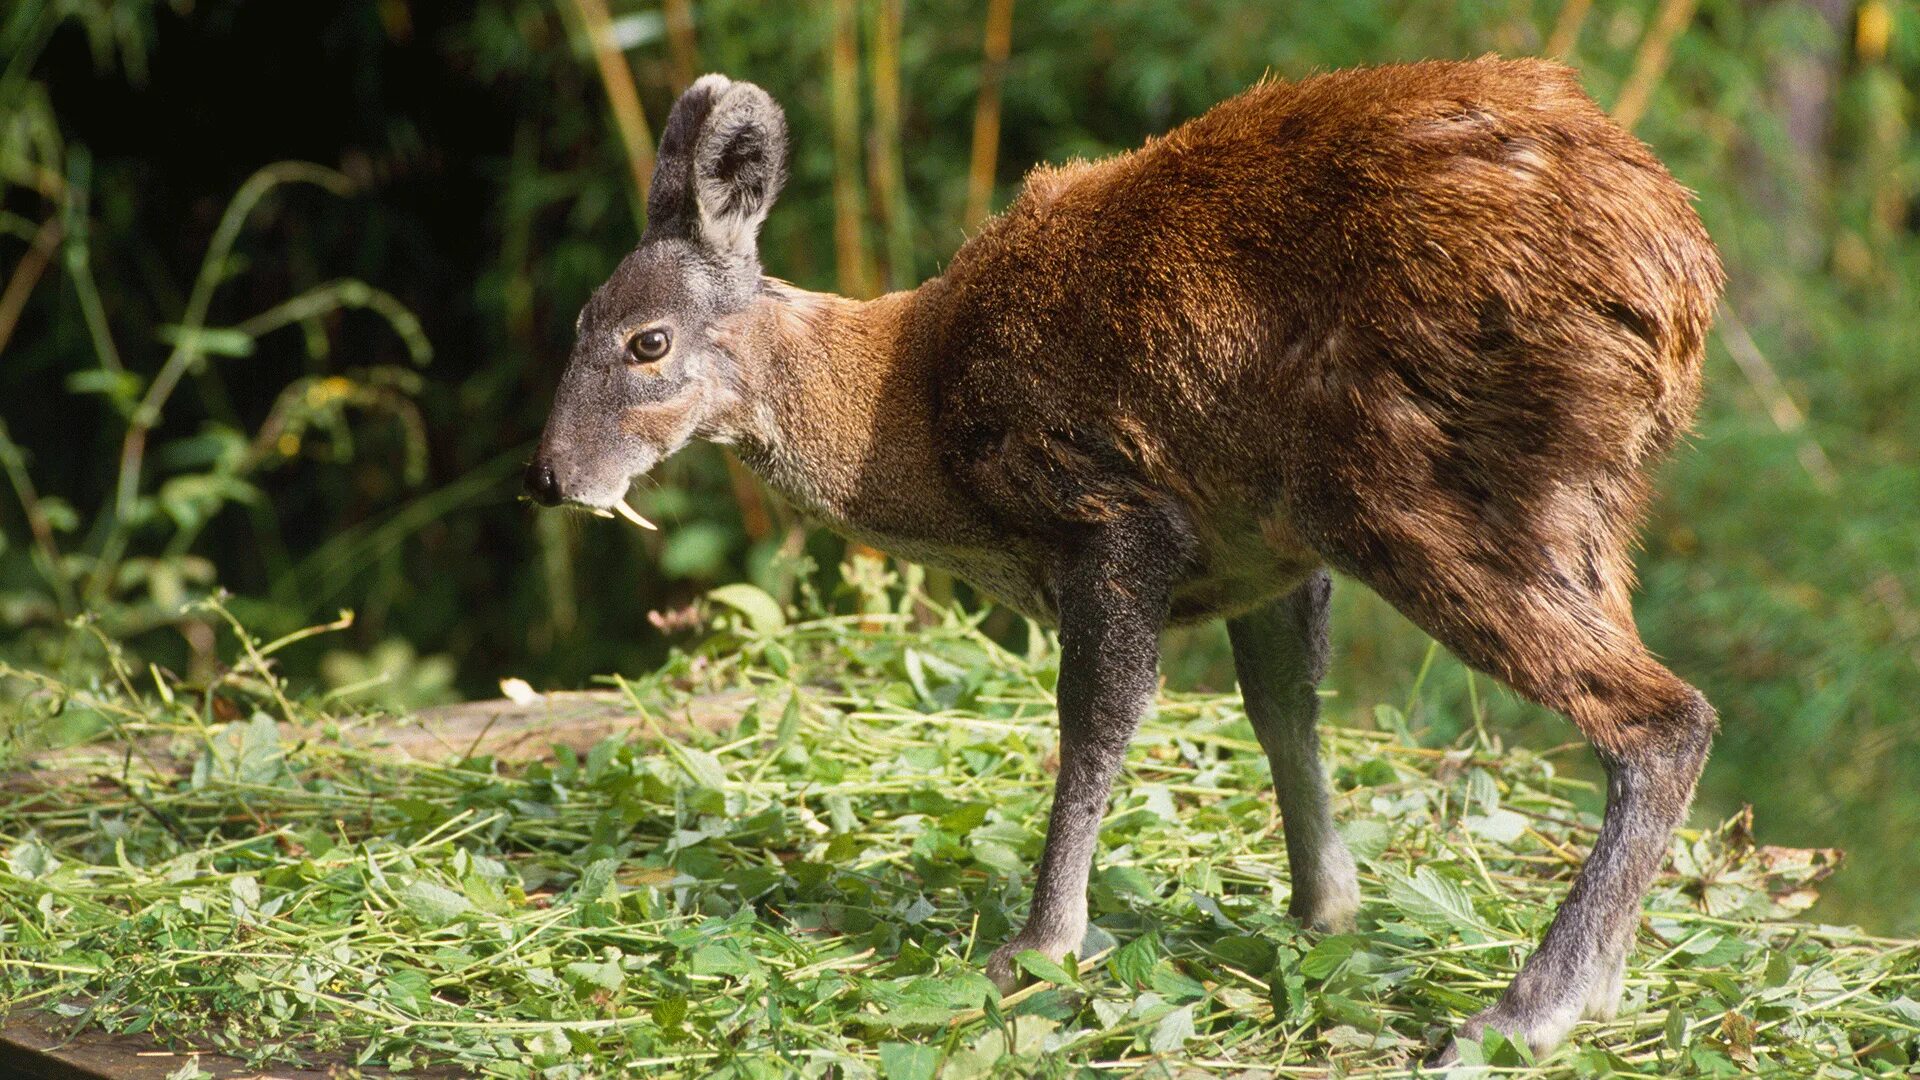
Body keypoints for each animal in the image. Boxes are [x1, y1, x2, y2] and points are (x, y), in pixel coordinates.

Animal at [522, 56, 1728, 1053]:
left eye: (647, 343)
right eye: (575, 320)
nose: (548, 477)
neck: (908, 424)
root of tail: (1679, 280)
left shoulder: (1110, 505)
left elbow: (1100, 717)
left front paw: (1038, 946)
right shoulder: (1267, 550)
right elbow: (1283, 705)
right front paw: (1323, 910)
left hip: (1412, 485)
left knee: (1665, 715)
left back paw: (1524, 1014)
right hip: (1569, 515)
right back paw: (1599, 982)